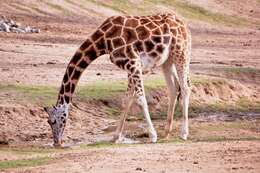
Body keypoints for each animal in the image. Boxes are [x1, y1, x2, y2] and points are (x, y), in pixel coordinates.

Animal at [44, 12, 191, 147]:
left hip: (181, 52)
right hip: (167, 60)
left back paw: (183, 133)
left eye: (52, 121)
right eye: (49, 122)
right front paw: (115, 137)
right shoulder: (130, 66)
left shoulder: (133, 62)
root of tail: (184, 25)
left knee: (185, 87)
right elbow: (126, 100)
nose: (57, 143)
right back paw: (166, 132)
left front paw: (152, 135)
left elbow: (140, 99)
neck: (103, 41)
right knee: (174, 88)